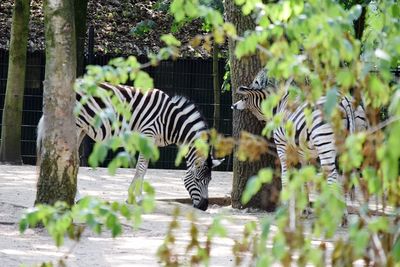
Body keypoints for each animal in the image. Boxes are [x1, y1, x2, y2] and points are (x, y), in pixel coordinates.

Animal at [37, 82, 223, 211]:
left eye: (210, 181)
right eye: (198, 180)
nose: (204, 207)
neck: (171, 121)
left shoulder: (151, 141)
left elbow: (144, 168)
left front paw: (133, 197)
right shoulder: (148, 134)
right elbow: (141, 168)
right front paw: (137, 198)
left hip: (81, 129)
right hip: (75, 126)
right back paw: (76, 197)